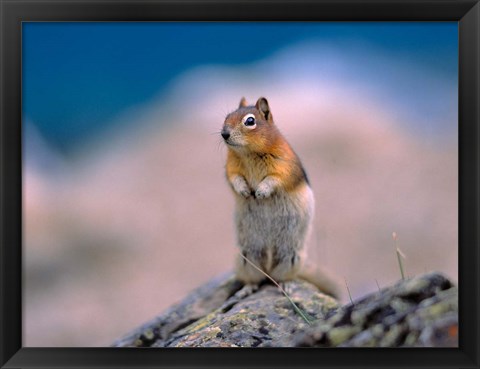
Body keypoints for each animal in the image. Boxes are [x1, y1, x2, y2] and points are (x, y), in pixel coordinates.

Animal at [222, 97, 340, 296]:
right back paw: (247, 288)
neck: (248, 153)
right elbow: (234, 178)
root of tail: (269, 267)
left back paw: (286, 285)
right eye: (226, 116)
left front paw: (261, 191)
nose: (224, 134)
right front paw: (244, 190)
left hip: (291, 257)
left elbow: (275, 179)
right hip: (246, 257)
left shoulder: (284, 166)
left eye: (250, 121)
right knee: (257, 278)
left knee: (280, 278)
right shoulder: (231, 166)